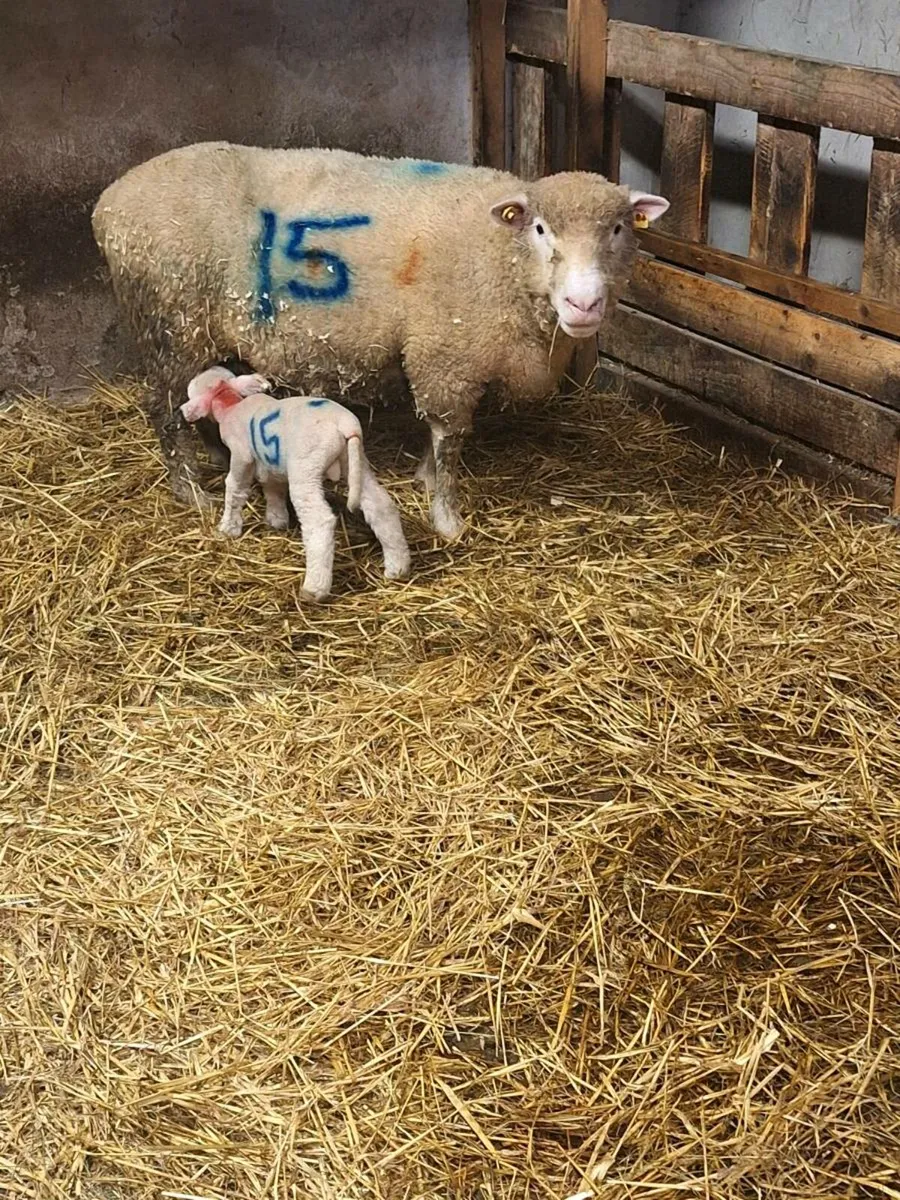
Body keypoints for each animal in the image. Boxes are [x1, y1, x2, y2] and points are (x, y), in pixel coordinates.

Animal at [92, 143, 669, 539]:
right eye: (542, 229)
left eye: (619, 229)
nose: (583, 304)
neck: (498, 253)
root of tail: (108, 203)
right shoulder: (445, 358)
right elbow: (450, 440)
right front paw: (446, 515)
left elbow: (439, 440)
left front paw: (425, 479)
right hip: (169, 323)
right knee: (163, 408)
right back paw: (190, 492)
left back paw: (216, 454)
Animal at [181, 367, 411, 602]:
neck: (231, 405)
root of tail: (346, 425)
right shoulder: (271, 462)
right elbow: (273, 488)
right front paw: (277, 519)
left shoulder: (241, 455)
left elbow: (235, 489)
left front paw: (228, 528)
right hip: (354, 460)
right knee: (380, 505)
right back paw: (397, 567)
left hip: (306, 467)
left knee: (319, 520)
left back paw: (314, 588)